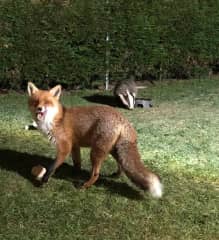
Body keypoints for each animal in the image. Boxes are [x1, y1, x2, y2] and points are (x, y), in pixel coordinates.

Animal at [27, 81, 163, 198]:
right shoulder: (75, 145)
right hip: (112, 150)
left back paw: (85, 185)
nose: (39, 108)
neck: (56, 119)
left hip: (96, 152)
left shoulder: (65, 146)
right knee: (122, 164)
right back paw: (116, 175)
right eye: (36, 101)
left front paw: (44, 179)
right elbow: (77, 163)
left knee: (96, 174)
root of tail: (123, 118)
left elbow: (52, 166)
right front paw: (75, 173)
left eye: (47, 102)